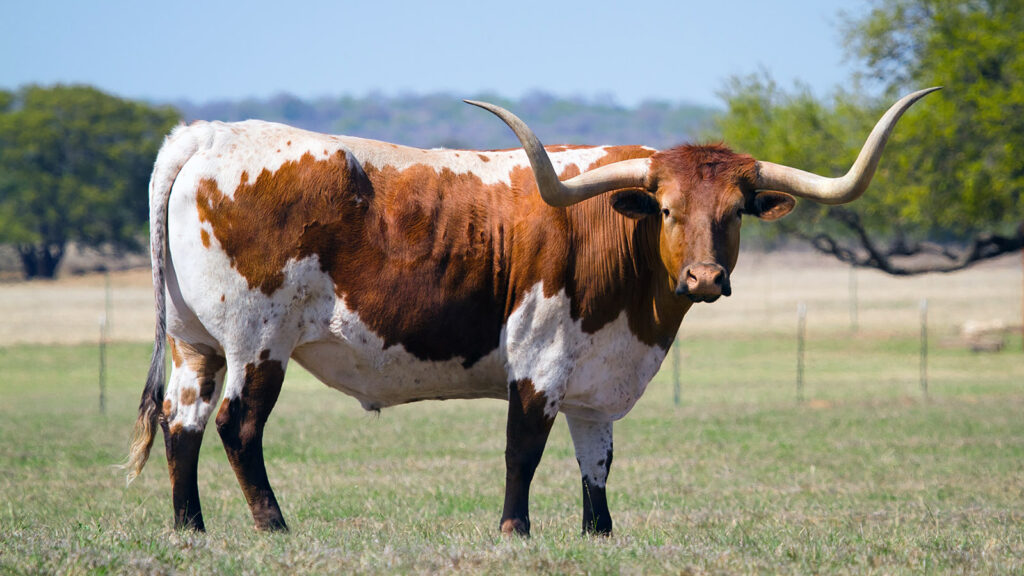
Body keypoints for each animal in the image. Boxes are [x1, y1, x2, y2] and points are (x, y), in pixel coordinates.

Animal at [125, 88, 938, 535]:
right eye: (668, 210)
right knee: (239, 426)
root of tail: (207, 136)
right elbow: (523, 451)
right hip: (257, 339)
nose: (706, 276)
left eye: (735, 212)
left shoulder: (597, 380)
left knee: (182, 423)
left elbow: (596, 462)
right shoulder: (540, 362)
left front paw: (599, 535)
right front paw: (515, 530)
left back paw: (190, 529)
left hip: (197, 343)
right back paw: (274, 527)